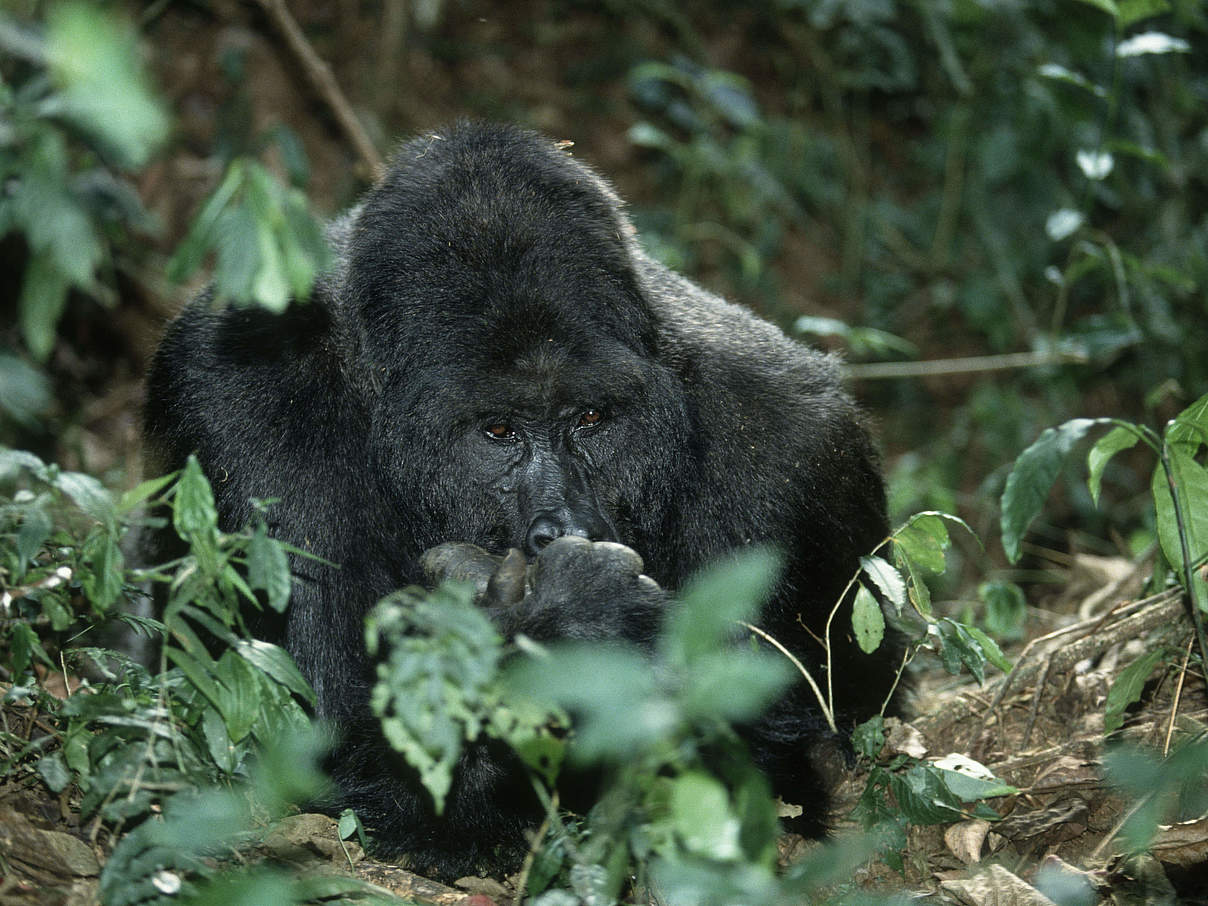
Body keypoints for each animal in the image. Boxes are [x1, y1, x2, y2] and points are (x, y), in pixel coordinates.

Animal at [143, 122, 898, 879]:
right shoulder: (241, 405)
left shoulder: (796, 446)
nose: (560, 526)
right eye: (499, 431)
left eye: (590, 419)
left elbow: (783, 766)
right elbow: (325, 740)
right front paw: (577, 621)